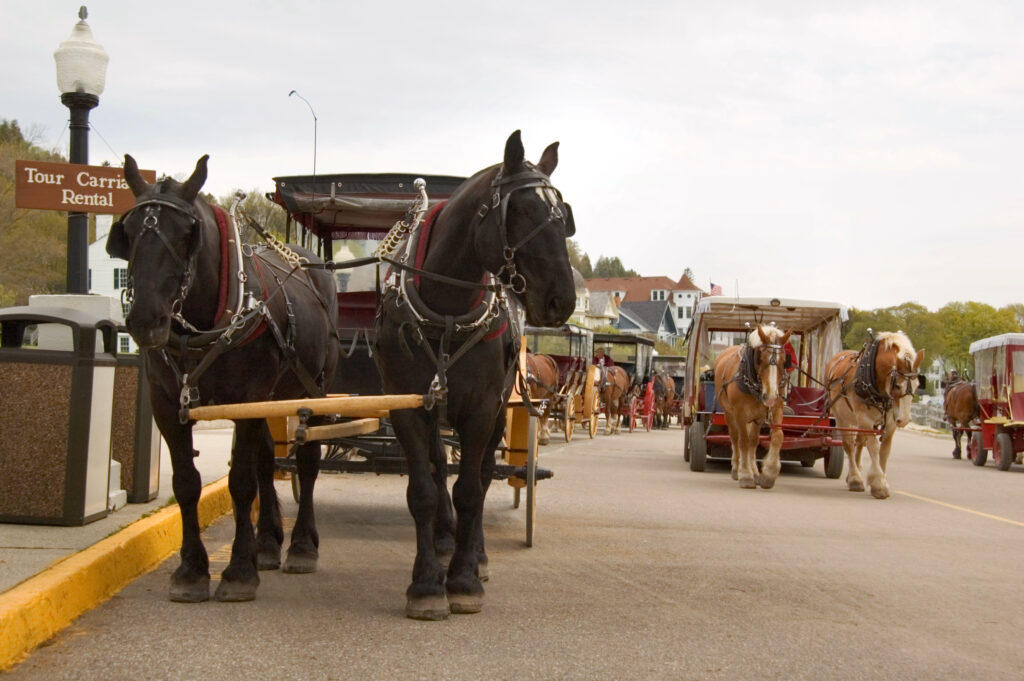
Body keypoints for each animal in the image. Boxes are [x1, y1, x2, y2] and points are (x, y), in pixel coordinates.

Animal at [108, 155, 339, 602]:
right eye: (127, 232)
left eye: (187, 234)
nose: (145, 320)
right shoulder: (168, 404)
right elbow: (187, 482)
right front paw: (192, 569)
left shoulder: (247, 400)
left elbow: (241, 481)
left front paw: (237, 571)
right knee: (268, 460)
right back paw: (267, 544)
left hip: (315, 387)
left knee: (306, 462)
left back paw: (302, 546)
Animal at [376, 130, 581, 618]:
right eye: (520, 211)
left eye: (563, 215)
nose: (563, 299)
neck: (447, 313)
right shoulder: (406, 407)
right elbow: (423, 490)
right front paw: (426, 583)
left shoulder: (483, 411)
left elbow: (471, 490)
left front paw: (464, 579)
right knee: (438, 468)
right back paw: (444, 539)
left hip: (498, 410)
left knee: (485, 476)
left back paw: (475, 554)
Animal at [712, 325, 790, 489]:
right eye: (760, 358)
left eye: (784, 361)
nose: (770, 396)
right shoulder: (740, 414)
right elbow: (743, 442)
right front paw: (745, 475)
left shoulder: (775, 409)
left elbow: (777, 436)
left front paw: (768, 474)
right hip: (729, 413)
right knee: (735, 437)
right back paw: (737, 468)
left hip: (757, 417)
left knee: (753, 440)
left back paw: (754, 471)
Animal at [827, 329, 925, 497]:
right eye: (897, 386)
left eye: (917, 384)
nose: (904, 420)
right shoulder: (865, 419)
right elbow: (873, 447)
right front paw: (878, 484)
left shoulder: (890, 423)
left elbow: (884, 451)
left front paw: (881, 480)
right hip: (842, 417)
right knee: (849, 445)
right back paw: (855, 478)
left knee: (859, 442)